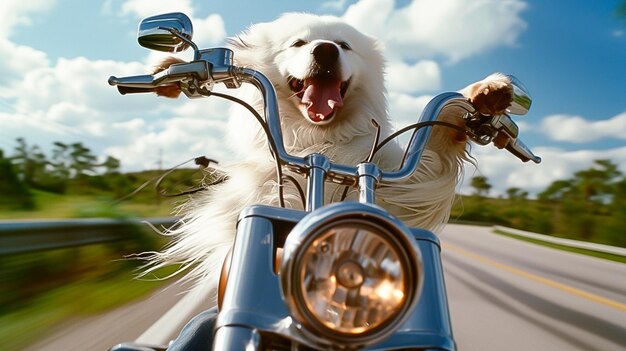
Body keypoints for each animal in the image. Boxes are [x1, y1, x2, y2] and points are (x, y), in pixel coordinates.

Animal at [145, 13, 512, 292]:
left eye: (344, 46)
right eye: (298, 43)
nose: (325, 50)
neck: (320, 144)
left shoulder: (407, 182)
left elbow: (439, 140)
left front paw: (483, 94)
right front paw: (171, 65)